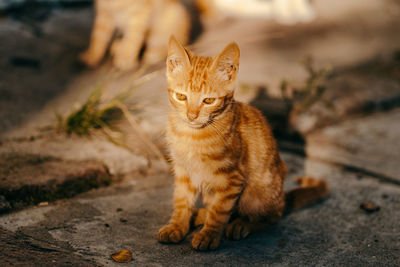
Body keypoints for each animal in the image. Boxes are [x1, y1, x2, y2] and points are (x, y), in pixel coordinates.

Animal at [158, 36, 330, 251]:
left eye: (209, 101)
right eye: (181, 96)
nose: (192, 116)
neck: (192, 134)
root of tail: (283, 198)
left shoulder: (231, 178)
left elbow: (220, 211)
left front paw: (209, 234)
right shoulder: (183, 172)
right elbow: (182, 201)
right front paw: (177, 225)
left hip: (256, 193)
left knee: (271, 217)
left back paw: (241, 224)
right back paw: (201, 215)